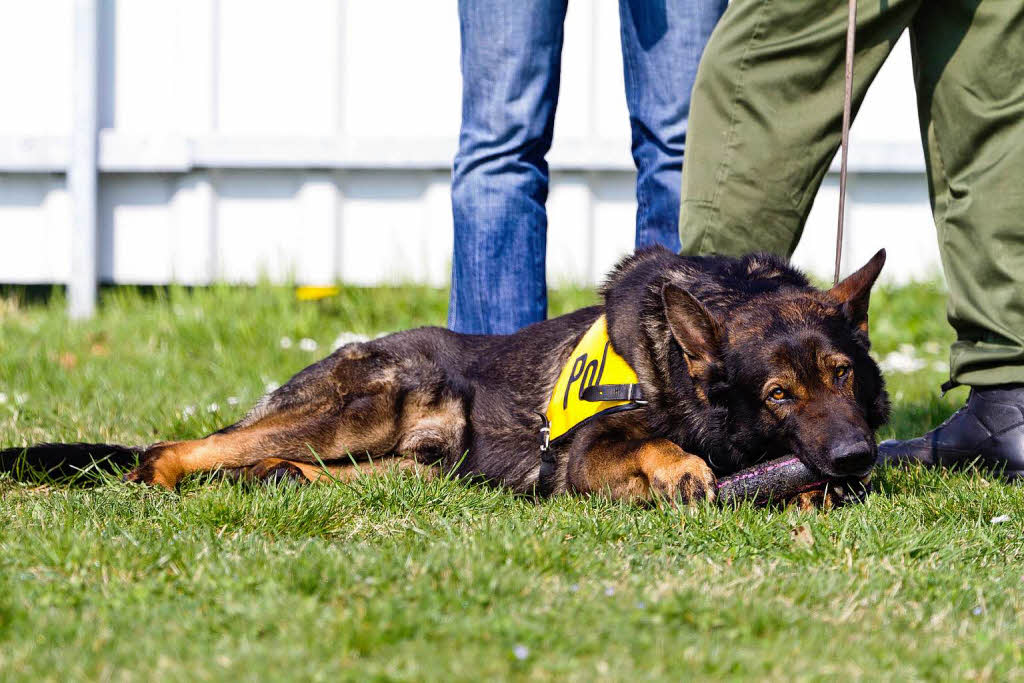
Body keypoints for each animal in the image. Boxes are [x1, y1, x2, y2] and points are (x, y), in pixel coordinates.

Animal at [0, 248, 888, 505]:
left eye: (843, 374)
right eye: (778, 395)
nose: (857, 458)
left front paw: (810, 489)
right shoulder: (584, 455)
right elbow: (656, 449)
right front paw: (681, 468)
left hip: (419, 463)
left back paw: (277, 476)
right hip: (360, 406)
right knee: (173, 450)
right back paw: (172, 483)